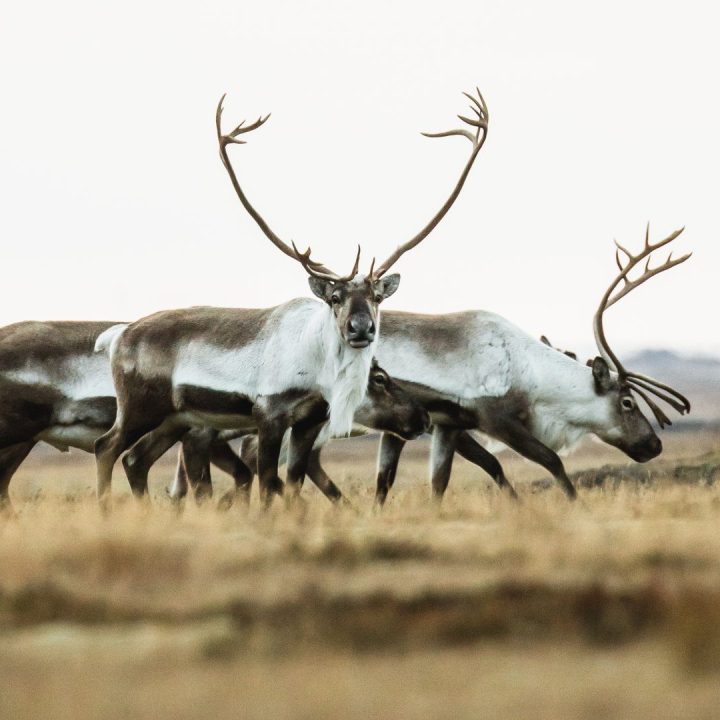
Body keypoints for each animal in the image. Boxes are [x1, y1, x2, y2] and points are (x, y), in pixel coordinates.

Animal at [93, 87, 490, 511]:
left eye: (376, 298)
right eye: (335, 297)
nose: (361, 329)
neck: (318, 372)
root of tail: (119, 335)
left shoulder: (308, 421)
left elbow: (295, 480)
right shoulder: (269, 415)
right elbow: (269, 480)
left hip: (175, 418)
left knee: (136, 458)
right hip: (140, 407)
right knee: (107, 447)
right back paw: (106, 508)